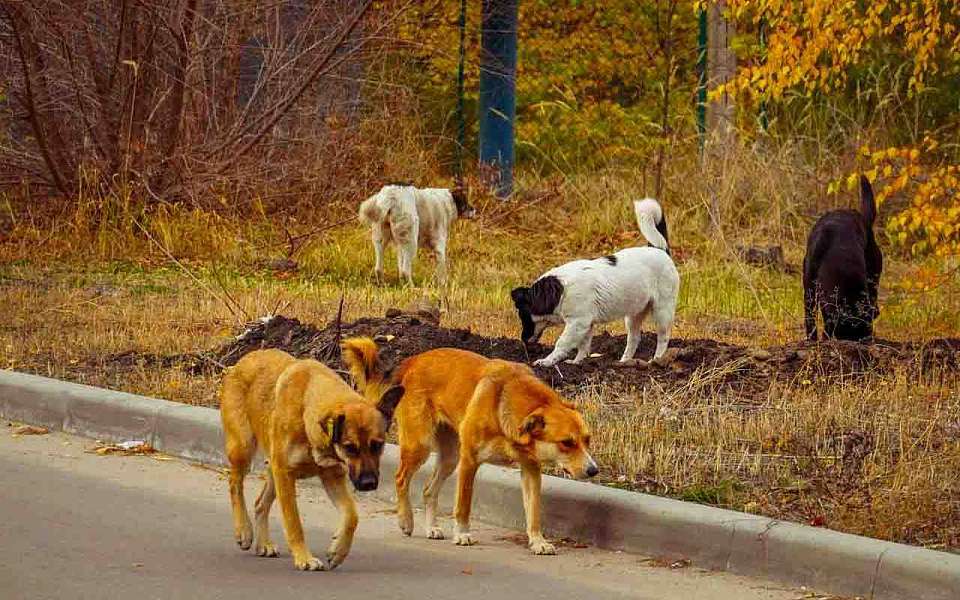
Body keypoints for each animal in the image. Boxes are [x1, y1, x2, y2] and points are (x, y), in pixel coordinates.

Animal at [219, 344, 404, 568]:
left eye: (378, 445)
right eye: (350, 447)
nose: (368, 484)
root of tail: (241, 362)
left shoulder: (332, 477)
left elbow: (352, 515)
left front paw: (338, 550)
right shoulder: (286, 476)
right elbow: (294, 523)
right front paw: (304, 558)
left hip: (273, 472)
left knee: (260, 503)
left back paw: (263, 543)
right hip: (244, 449)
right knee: (234, 483)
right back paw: (244, 530)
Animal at [344, 340, 596, 556]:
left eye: (587, 439)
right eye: (567, 442)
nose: (594, 470)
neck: (505, 404)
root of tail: (413, 361)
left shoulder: (531, 469)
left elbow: (534, 511)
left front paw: (537, 541)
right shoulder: (469, 461)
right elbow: (463, 505)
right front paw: (462, 534)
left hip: (449, 457)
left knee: (428, 490)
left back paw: (431, 527)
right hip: (421, 446)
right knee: (400, 478)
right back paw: (406, 520)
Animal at [512, 198, 680, 366]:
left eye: (523, 316)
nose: (523, 340)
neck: (560, 289)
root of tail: (660, 249)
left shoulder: (577, 323)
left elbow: (562, 343)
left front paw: (547, 361)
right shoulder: (586, 324)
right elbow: (583, 346)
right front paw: (577, 362)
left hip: (662, 310)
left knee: (663, 337)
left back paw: (657, 360)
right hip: (634, 314)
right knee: (634, 338)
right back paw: (624, 361)